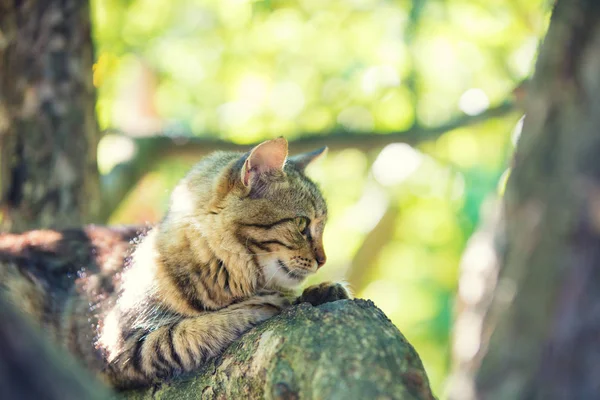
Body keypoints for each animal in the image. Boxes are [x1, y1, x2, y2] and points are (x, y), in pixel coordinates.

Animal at [0, 138, 352, 390]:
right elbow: (192, 330)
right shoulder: (122, 348)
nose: (322, 260)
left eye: (321, 226)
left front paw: (324, 289)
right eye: (302, 224)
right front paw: (269, 302)